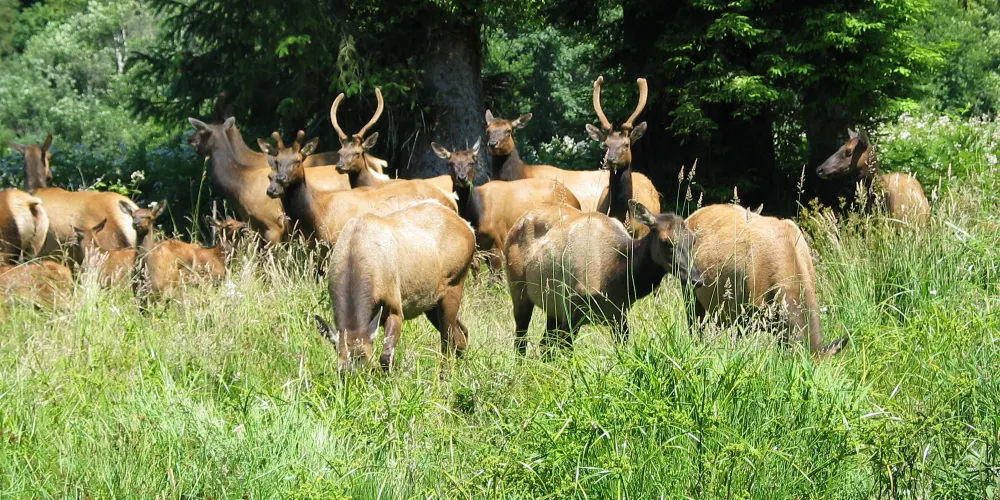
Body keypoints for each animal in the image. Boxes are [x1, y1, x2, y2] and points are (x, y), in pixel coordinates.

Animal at [313, 200, 476, 372]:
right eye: (341, 372)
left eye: (370, 367)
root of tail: (469, 228)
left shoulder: (395, 305)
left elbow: (386, 357)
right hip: (432, 302)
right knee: (461, 335)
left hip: (455, 283)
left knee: (448, 339)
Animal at [430, 138, 581, 273]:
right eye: (451, 163)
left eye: (472, 162)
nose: (462, 178)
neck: (478, 216)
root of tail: (576, 200)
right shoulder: (477, 248)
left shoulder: (498, 241)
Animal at [504, 200, 703, 355]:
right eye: (665, 241)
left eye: (693, 240)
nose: (697, 279)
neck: (617, 279)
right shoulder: (574, 308)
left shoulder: (619, 313)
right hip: (519, 291)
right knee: (521, 341)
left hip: (552, 306)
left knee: (544, 345)